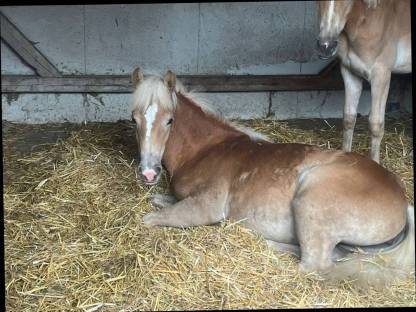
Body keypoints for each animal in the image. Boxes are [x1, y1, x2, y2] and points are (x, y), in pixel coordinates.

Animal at [129, 68, 412, 288]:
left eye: (169, 120)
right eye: (134, 120)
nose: (149, 172)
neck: (205, 150)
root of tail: (402, 200)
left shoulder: (206, 206)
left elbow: (149, 218)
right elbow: (159, 201)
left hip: (310, 203)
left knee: (313, 264)